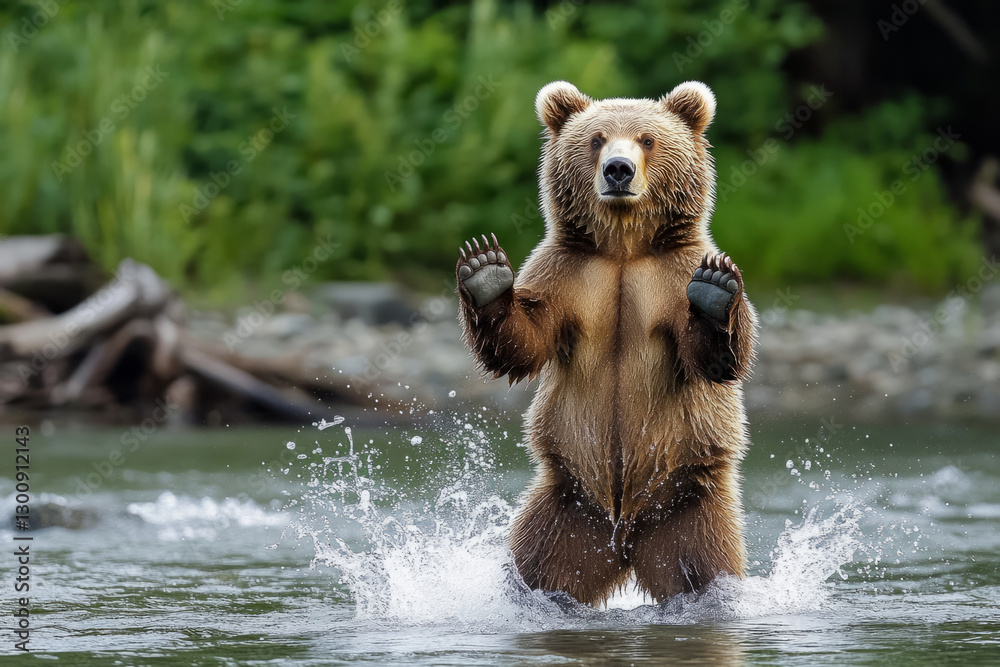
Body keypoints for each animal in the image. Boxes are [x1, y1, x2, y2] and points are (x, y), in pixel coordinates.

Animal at [454, 80, 758, 606]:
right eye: (596, 139)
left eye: (647, 139)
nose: (619, 169)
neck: (623, 250)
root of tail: (625, 539)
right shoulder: (567, 276)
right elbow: (526, 342)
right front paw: (486, 273)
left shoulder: (670, 275)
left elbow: (713, 358)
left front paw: (716, 291)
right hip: (566, 511)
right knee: (540, 570)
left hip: (690, 507)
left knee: (705, 573)